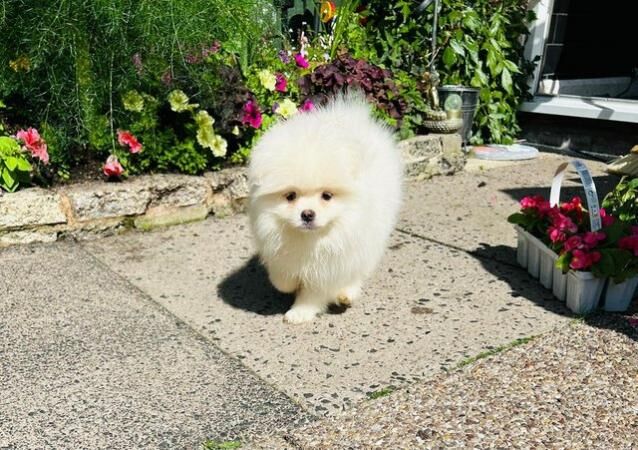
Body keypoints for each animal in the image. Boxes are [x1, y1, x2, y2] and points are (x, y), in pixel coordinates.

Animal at [246, 94, 402, 324]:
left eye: (327, 196)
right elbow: (282, 276)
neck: (309, 238)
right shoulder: (275, 245)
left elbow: (314, 292)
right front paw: (289, 284)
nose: (307, 214)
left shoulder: (330, 265)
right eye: (290, 196)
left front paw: (300, 312)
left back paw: (346, 293)